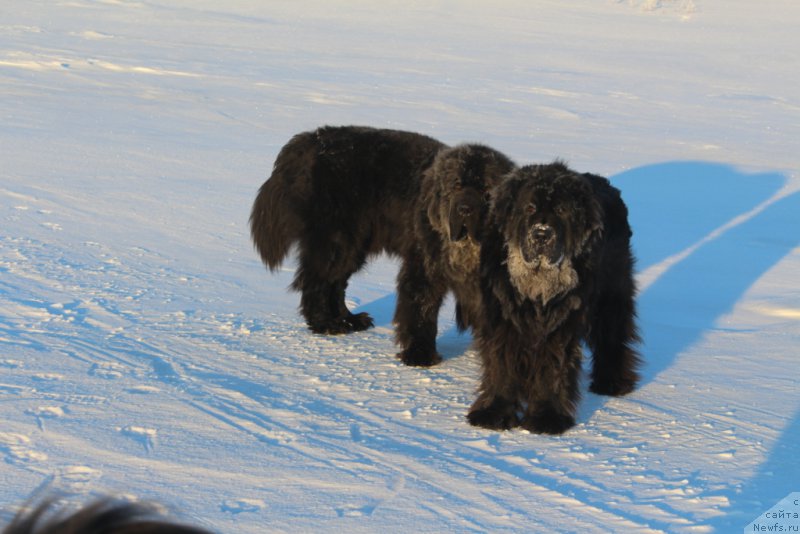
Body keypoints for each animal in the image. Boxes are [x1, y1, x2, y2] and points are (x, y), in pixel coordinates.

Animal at [250, 125, 444, 336]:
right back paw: (325, 323)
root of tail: (309, 140)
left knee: (335, 284)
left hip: (354, 244)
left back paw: (348, 319)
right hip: (337, 239)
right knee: (316, 281)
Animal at [396, 144, 516, 366]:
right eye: (456, 186)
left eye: (485, 190)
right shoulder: (424, 267)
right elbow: (422, 307)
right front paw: (419, 353)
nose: (465, 209)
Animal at [468, 162, 644, 436]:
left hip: (611, 296)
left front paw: (547, 417)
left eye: (561, 210)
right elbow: (501, 365)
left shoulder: (560, 325)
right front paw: (494, 412)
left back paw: (612, 381)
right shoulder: (501, 318)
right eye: (529, 207)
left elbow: (553, 367)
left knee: (612, 337)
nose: (541, 234)